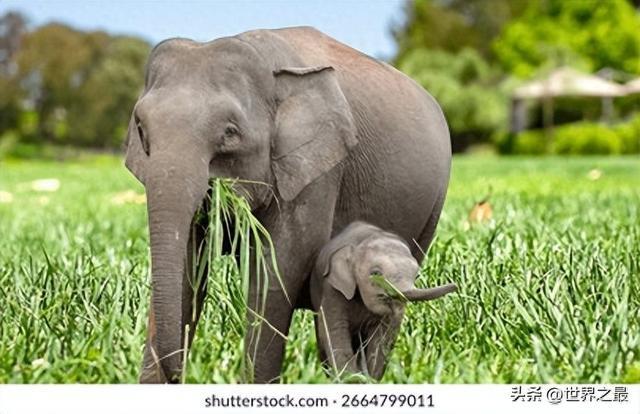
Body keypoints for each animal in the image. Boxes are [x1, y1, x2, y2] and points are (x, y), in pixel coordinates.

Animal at [310, 221, 457, 380]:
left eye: (417, 276)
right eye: (375, 273)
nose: (456, 286)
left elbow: (380, 339)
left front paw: (369, 378)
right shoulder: (333, 290)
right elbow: (336, 331)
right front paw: (352, 379)